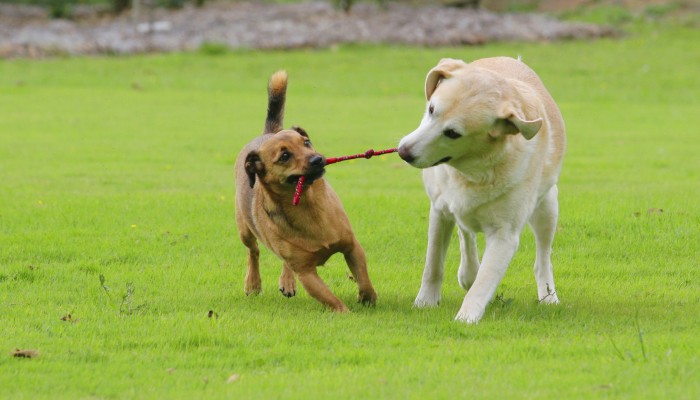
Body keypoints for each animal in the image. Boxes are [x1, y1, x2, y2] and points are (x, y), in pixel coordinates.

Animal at [235, 70, 378, 310]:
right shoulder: (306, 273)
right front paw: (346, 312)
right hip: (244, 228)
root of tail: (268, 132)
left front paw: (368, 298)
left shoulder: (352, 247)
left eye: (306, 142)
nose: (317, 159)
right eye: (285, 156)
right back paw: (253, 283)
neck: (307, 204)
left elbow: (364, 278)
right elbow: (332, 300)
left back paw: (286, 281)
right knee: (253, 251)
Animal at [396, 57, 568, 324]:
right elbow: (433, 265)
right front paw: (425, 302)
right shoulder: (440, 210)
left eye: (453, 133)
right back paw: (468, 272)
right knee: (465, 233)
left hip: (547, 207)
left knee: (542, 259)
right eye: (432, 109)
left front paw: (466, 318)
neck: (473, 171)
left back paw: (548, 295)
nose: (404, 152)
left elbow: (483, 283)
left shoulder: (504, 235)